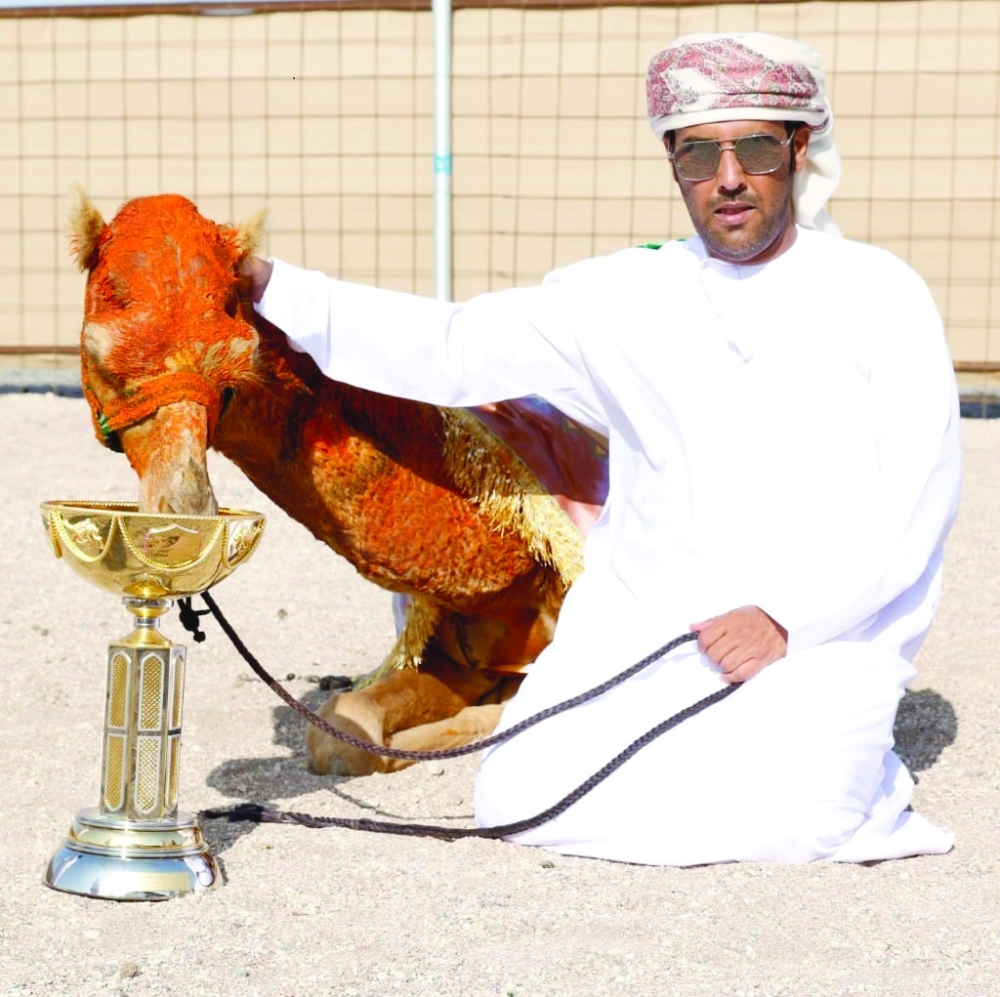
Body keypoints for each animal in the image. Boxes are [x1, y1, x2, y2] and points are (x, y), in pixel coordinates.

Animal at [68, 189, 608, 776]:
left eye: (237, 366)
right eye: (98, 359)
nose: (185, 509)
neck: (523, 579)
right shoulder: (455, 648)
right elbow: (340, 731)